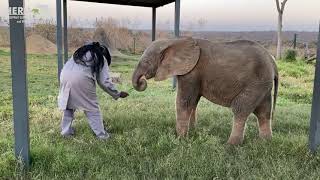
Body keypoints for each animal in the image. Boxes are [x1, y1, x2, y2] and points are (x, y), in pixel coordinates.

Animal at [132, 37, 278, 146]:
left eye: (146, 61)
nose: (142, 81)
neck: (174, 41)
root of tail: (272, 61)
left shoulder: (191, 72)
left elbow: (184, 102)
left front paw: (180, 139)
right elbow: (192, 103)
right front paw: (192, 132)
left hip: (256, 83)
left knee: (240, 108)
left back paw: (230, 146)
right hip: (263, 85)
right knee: (264, 112)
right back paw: (265, 142)